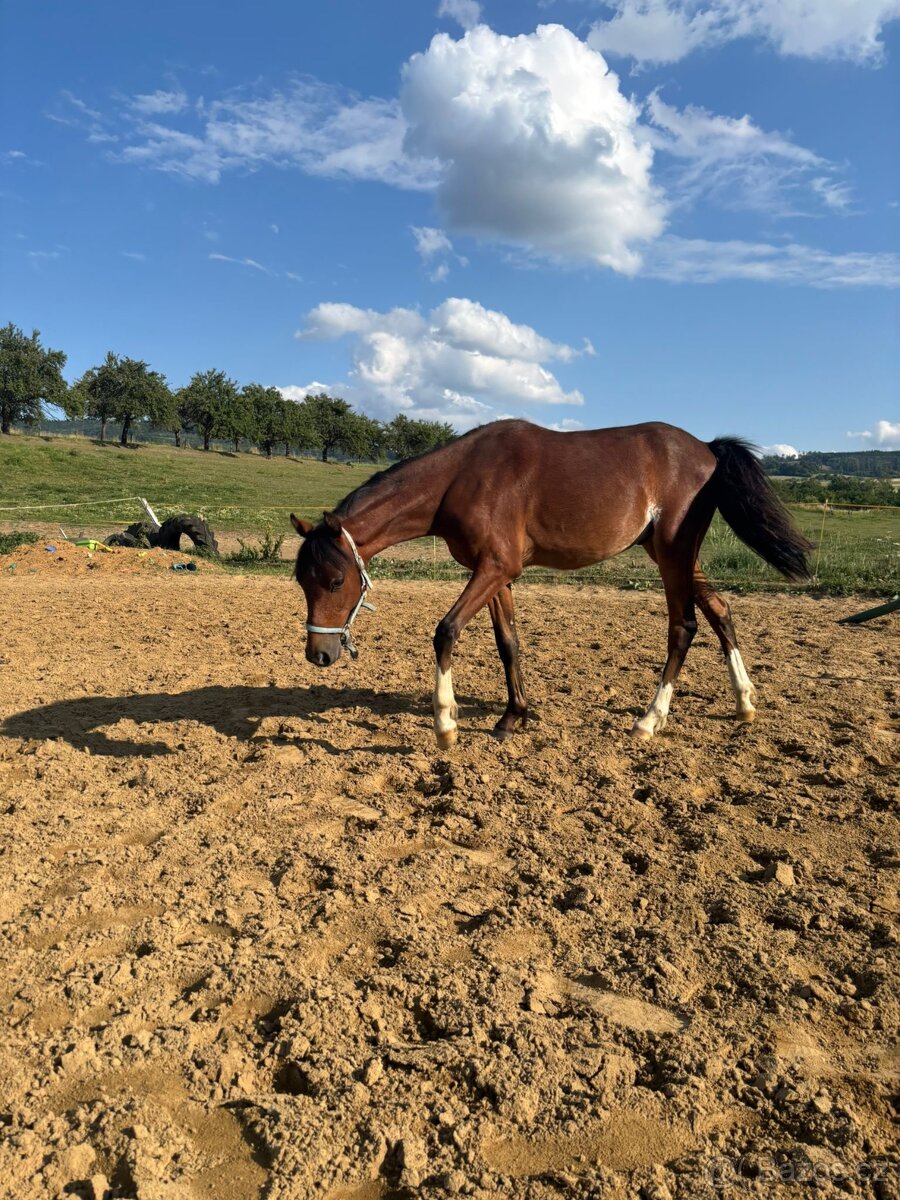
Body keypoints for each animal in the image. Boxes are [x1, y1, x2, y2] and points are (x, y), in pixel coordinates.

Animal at [291, 420, 812, 748]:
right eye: (300, 581)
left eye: (336, 581)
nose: (319, 655)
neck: (463, 478)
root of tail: (706, 448)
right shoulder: (496, 574)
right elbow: (508, 643)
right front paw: (513, 717)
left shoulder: (494, 568)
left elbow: (446, 631)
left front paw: (445, 724)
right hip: (674, 556)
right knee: (720, 610)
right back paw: (744, 703)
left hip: (673, 555)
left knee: (683, 627)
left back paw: (649, 721)